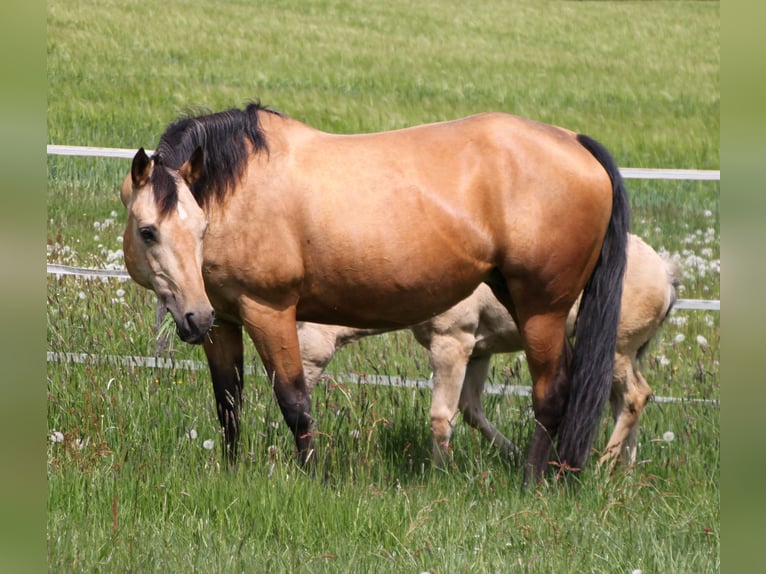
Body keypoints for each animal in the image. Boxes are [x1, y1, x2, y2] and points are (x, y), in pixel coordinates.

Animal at [120, 103, 632, 486]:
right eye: (149, 231)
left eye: (200, 228)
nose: (192, 319)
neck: (241, 189)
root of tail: (574, 141)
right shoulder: (223, 321)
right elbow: (229, 403)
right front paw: (230, 474)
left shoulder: (269, 311)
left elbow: (295, 402)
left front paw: (313, 479)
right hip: (523, 301)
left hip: (541, 308)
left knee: (552, 392)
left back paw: (532, 482)